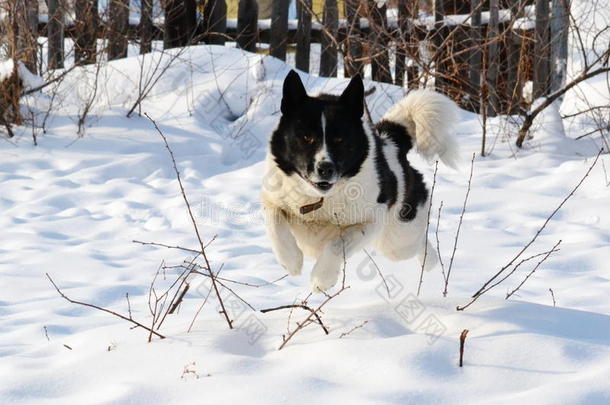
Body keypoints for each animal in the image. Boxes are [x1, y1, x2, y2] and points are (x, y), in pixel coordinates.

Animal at [262, 69, 456, 290]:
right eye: (306, 137)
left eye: (339, 139)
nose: (325, 168)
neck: (320, 200)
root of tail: (391, 140)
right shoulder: (272, 198)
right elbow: (274, 221)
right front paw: (291, 261)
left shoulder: (371, 220)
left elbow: (337, 244)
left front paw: (322, 278)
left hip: (397, 236)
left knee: (415, 242)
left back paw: (430, 264)